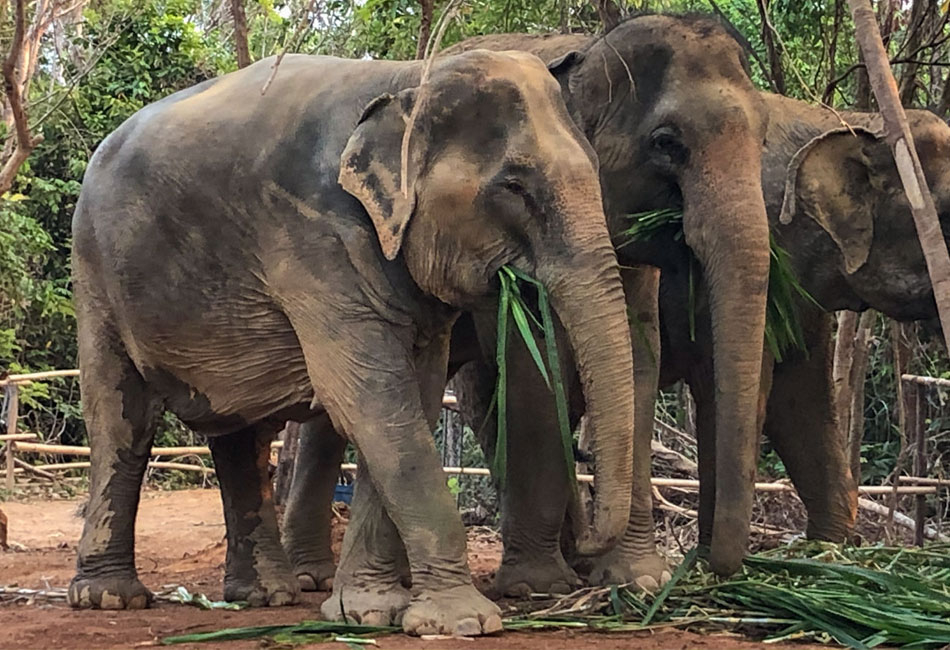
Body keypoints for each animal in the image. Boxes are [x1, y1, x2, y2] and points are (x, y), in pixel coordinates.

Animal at [67, 49, 640, 637]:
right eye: (515, 186)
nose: (586, 549)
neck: (407, 79)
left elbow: (413, 397)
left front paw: (366, 611)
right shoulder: (314, 243)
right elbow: (372, 400)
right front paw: (460, 622)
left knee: (240, 435)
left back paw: (264, 596)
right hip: (95, 276)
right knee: (121, 423)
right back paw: (109, 598)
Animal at [281, 12, 773, 597]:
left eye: (763, 134)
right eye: (666, 142)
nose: (708, 565)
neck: (587, 51)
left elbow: (639, 356)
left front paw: (636, 581)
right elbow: (534, 355)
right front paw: (539, 587)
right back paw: (310, 576)